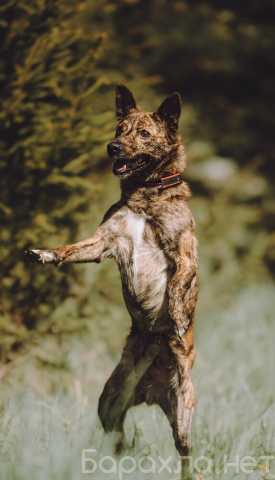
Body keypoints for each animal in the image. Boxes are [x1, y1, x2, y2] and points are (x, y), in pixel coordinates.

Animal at [27, 86, 198, 458]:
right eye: (120, 129)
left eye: (144, 133)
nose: (113, 147)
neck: (145, 194)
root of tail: (152, 392)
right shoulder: (103, 242)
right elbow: (71, 249)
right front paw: (46, 253)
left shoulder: (185, 254)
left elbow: (178, 285)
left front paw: (178, 318)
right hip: (109, 402)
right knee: (116, 435)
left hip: (184, 408)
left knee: (184, 449)